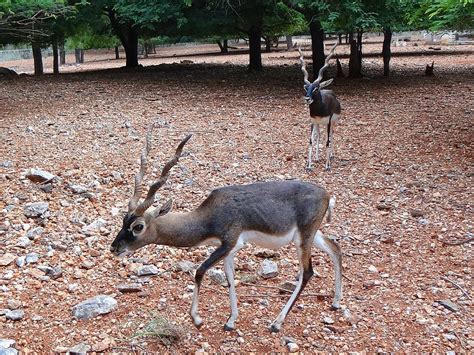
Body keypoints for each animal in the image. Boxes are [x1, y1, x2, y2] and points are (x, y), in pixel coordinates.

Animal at [109, 124, 342, 334]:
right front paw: (230, 321)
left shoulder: (228, 243)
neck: (209, 215)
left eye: (138, 226)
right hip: (310, 235)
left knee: (307, 272)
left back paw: (277, 323)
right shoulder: (230, 249)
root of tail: (327, 194)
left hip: (303, 238)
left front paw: (197, 319)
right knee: (335, 248)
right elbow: (230, 280)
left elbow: (200, 271)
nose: (114, 248)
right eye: (123, 220)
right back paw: (336, 302)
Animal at [298, 43, 342, 172]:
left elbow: (327, 142)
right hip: (318, 124)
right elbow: (311, 141)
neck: (319, 110)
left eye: (316, 88)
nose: (307, 98)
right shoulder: (313, 121)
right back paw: (317, 157)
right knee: (319, 136)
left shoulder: (328, 122)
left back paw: (331, 156)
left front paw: (327, 166)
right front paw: (309, 165)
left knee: (331, 135)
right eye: (306, 88)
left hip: (333, 123)